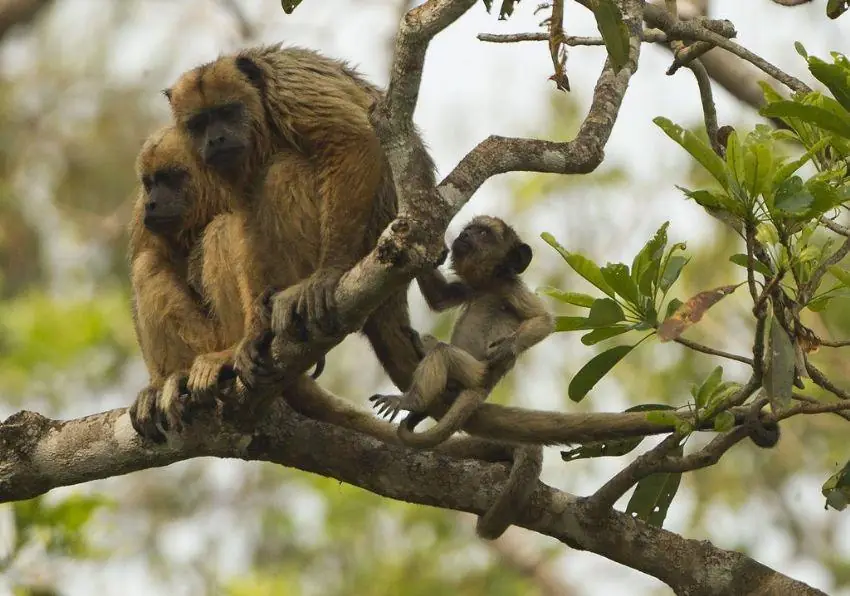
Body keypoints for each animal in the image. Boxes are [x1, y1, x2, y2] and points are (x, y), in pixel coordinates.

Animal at [163, 44, 427, 395]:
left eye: (228, 113)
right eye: (199, 124)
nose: (215, 140)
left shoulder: (290, 90)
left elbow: (352, 140)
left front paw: (328, 272)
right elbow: (243, 218)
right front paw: (254, 332)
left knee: (282, 170)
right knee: (225, 226)